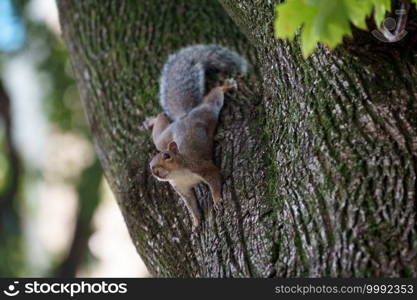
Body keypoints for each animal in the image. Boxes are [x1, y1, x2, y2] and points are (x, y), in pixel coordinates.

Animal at [145, 43, 247, 229]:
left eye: (167, 156)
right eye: (150, 165)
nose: (154, 171)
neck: (178, 173)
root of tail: (184, 117)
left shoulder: (203, 167)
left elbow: (215, 180)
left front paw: (217, 200)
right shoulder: (182, 189)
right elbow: (191, 205)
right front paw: (196, 222)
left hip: (209, 109)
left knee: (214, 95)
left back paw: (227, 85)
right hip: (162, 138)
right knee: (161, 119)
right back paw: (152, 120)